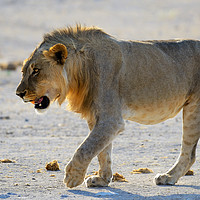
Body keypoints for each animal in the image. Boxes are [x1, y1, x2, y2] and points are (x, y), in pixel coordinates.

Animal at [16, 25, 200, 188]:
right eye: (23, 72)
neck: (80, 73)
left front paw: (73, 177)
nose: (19, 93)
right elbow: (102, 151)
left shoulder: (111, 120)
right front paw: (102, 179)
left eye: (36, 71)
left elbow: (86, 148)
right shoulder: (96, 118)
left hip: (194, 108)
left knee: (189, 153)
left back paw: (168, 177)